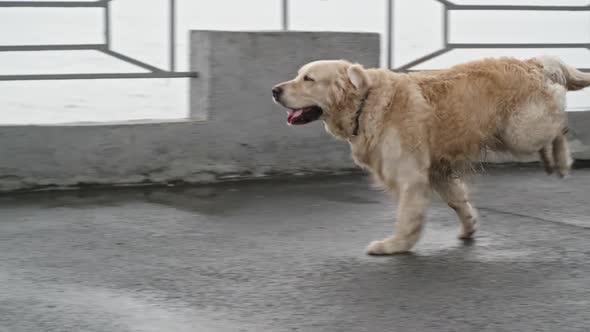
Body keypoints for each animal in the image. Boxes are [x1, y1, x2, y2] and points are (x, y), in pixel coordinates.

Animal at [272, 56, 588, 254]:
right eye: (299, 75)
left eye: (308, 79)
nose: (275, 90)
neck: (365, 102)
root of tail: (533, 63)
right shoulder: (437, 171)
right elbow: (458, 202)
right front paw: (469, 227)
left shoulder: (409, 175)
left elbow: (407, 216)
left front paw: (394, 245)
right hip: (516, 133)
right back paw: (550, 159)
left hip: (520, 131)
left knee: (559, 122)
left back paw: (562, 160)